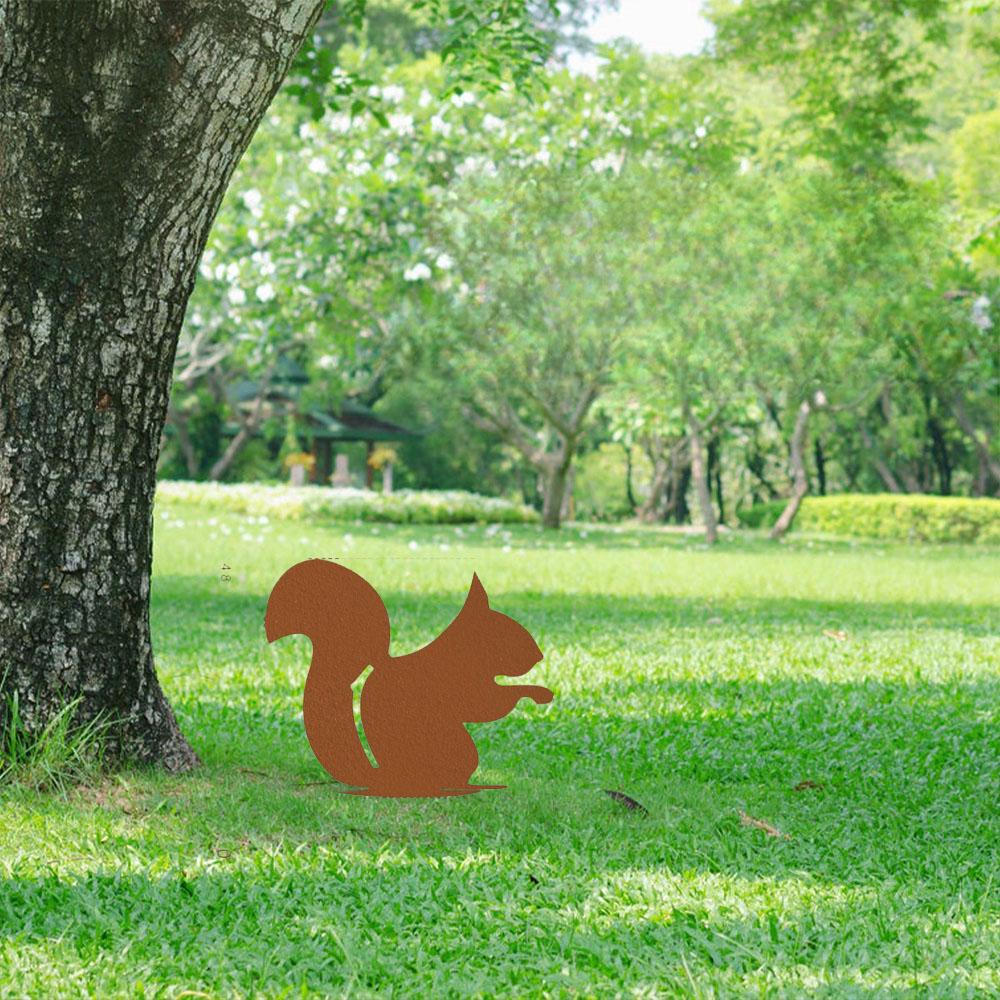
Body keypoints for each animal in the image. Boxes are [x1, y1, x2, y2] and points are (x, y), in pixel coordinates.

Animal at [264, 559, 553, 797]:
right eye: (511, 635)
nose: (539, 656)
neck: (464, 654)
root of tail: (385, 775)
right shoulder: (459, 685)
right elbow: (487, 705)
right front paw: (537, 692)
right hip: (456, 749)